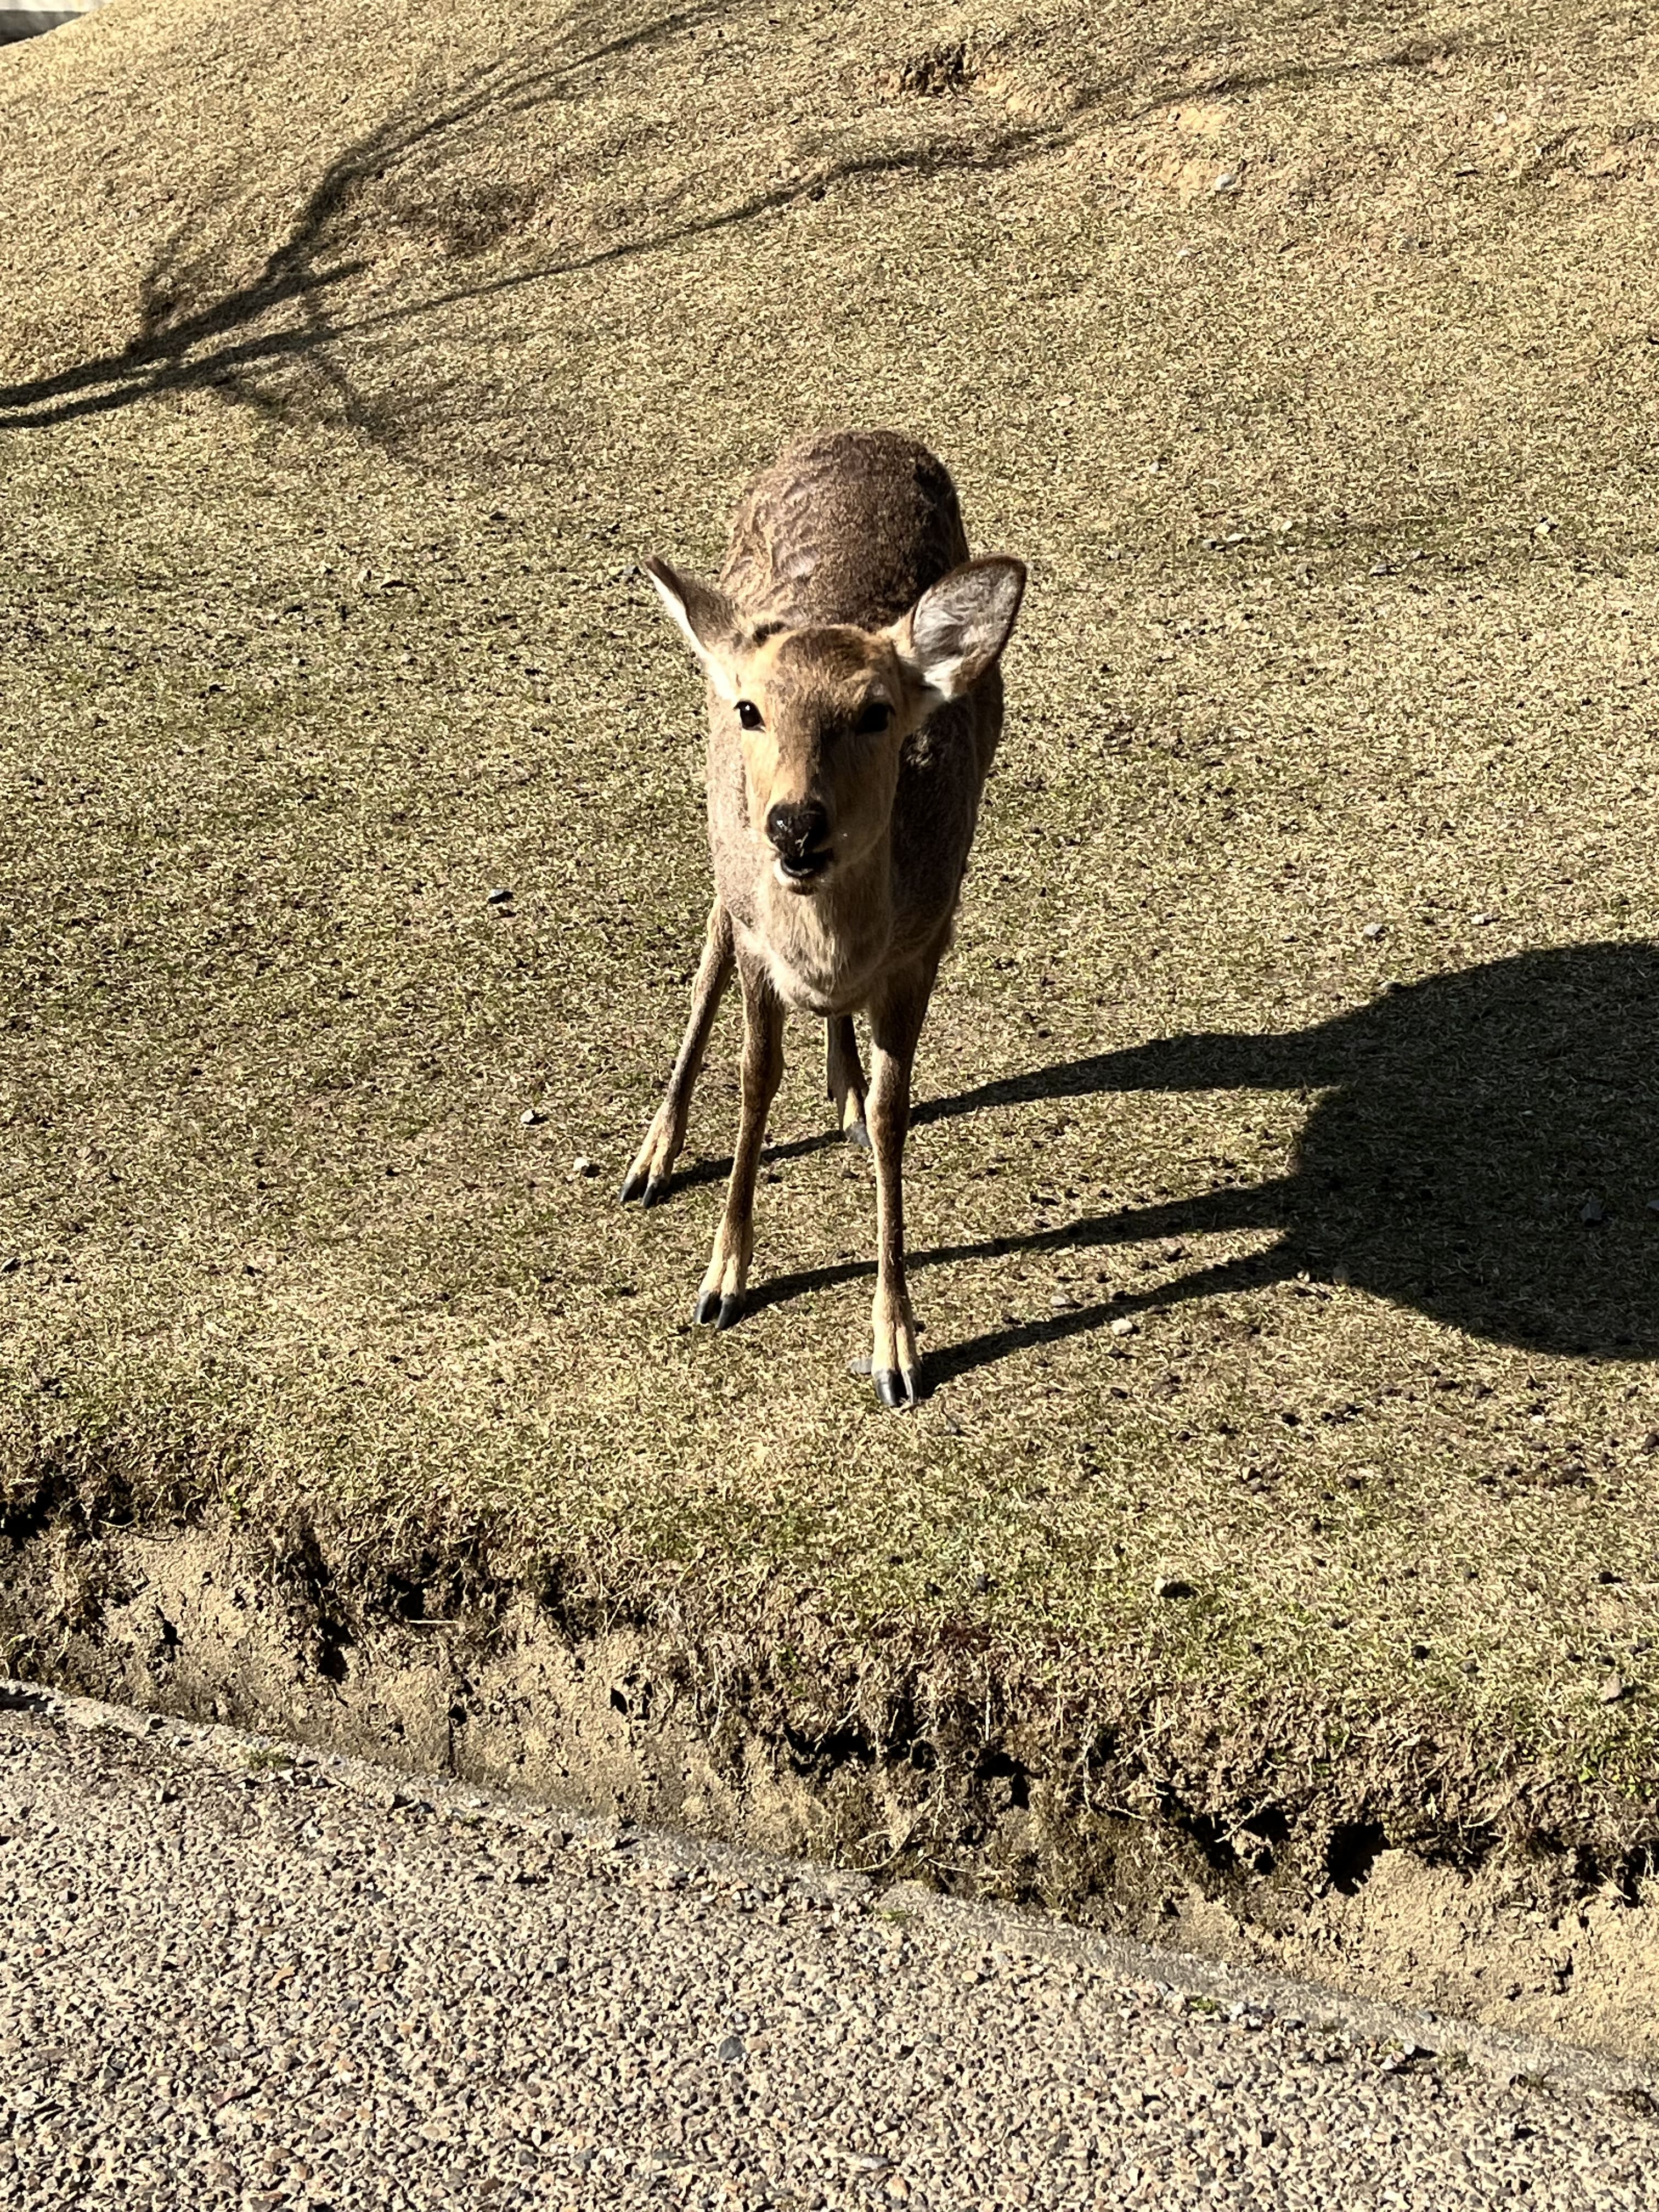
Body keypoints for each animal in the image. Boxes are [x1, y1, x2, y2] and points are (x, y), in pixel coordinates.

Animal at [620, 429, 1025, 1408]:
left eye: (876, 713)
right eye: (753, 709)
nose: (795, 824)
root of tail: (861, 433)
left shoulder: (929, 938)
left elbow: (893, 1112)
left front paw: (898, 1349)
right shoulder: (758, 932)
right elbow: (755, 1080)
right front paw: (721, 1282)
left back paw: (839, 1084)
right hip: (722, 841)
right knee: (708, 944)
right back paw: (650, 1159)